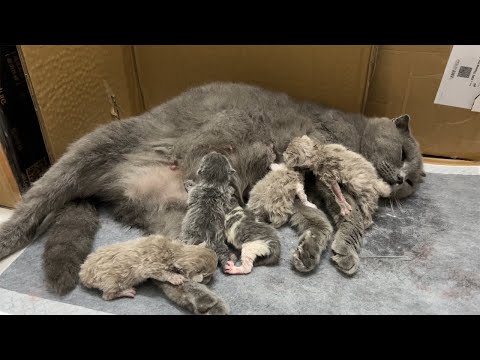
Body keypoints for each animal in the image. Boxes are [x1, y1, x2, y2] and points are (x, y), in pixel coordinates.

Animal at [79, 235, 218, 300]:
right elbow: (162, 273)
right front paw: (176, 277)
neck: (174, 251)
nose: (211, 280)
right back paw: (126, 292)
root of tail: (84, 275)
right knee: (108, 295)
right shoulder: (150, 266)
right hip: (111, 281)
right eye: (209, 276)